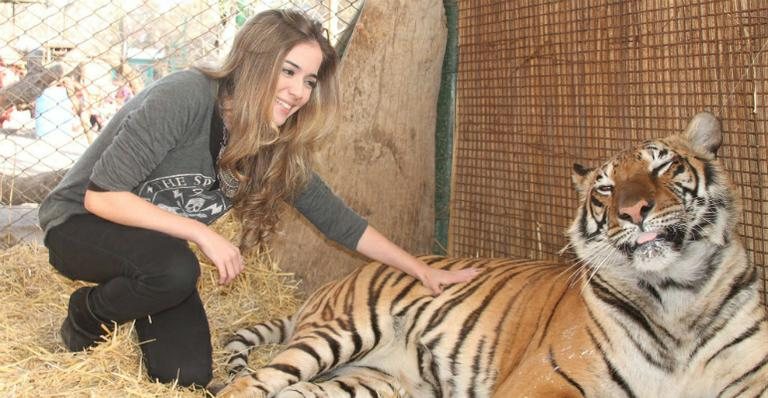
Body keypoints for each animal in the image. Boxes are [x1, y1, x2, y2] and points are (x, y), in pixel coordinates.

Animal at [214, 112, 768, 398]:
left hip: (370, 383)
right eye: (606, 189)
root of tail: (329, 286)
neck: (676, 299)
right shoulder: (545, 380)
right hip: (341, 333)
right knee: (250, 385)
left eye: (664, 166)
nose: (633, 211)